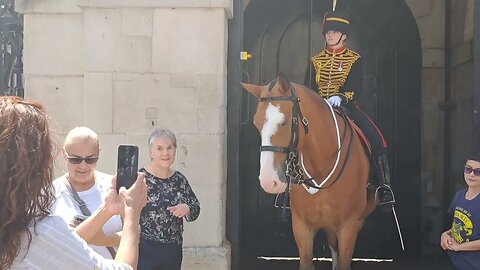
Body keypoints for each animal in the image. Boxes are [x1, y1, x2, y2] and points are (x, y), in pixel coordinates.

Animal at [242, 74, 376, 270]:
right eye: (256, 122)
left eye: (284, 122)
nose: (268, 181)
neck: (321, 164)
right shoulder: (301, 226)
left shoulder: (349, 226)